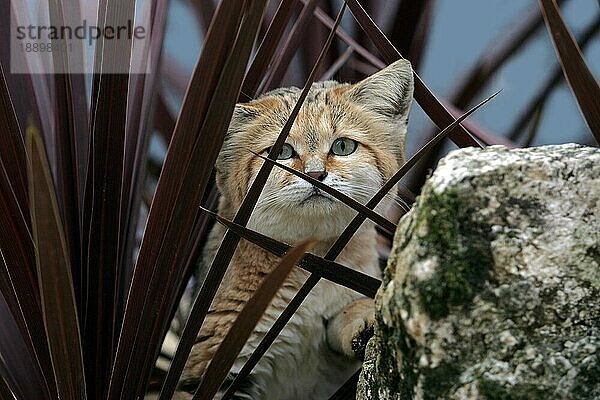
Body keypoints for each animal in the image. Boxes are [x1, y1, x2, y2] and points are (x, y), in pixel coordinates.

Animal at [178, 59, 412, 400]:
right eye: (282, 153)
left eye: (343, 146)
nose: (316, 175)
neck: (307, 261)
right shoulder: (213, 369)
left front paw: (360, 317)